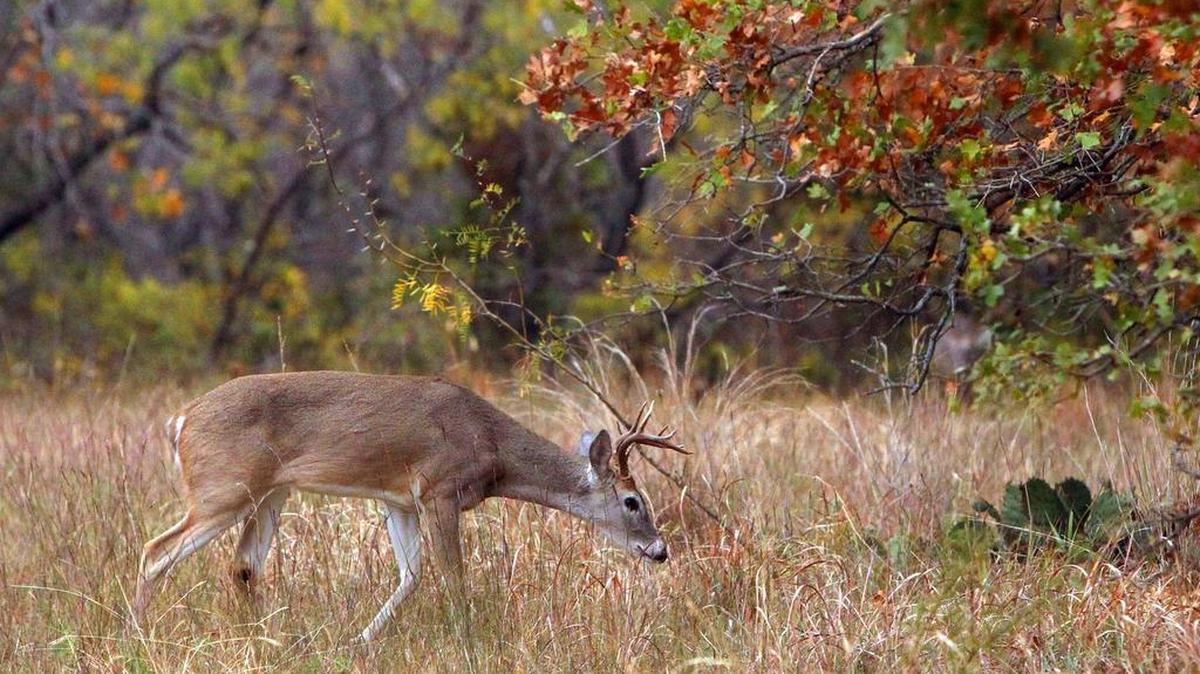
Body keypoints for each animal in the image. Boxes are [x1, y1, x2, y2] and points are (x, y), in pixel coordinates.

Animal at [133, 371, 686, 642]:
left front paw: (359, 642)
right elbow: (453, 575)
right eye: (633, 501)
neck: (492, 448)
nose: (660, 550)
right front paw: (470, 641)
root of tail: (180, 420)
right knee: (154, 549)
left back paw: (271, 637)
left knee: (244, 565)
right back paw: (138, 634)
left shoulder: (399, 500)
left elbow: (411, 575)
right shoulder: (439, 490)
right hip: (220, 487)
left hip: (270, 492)